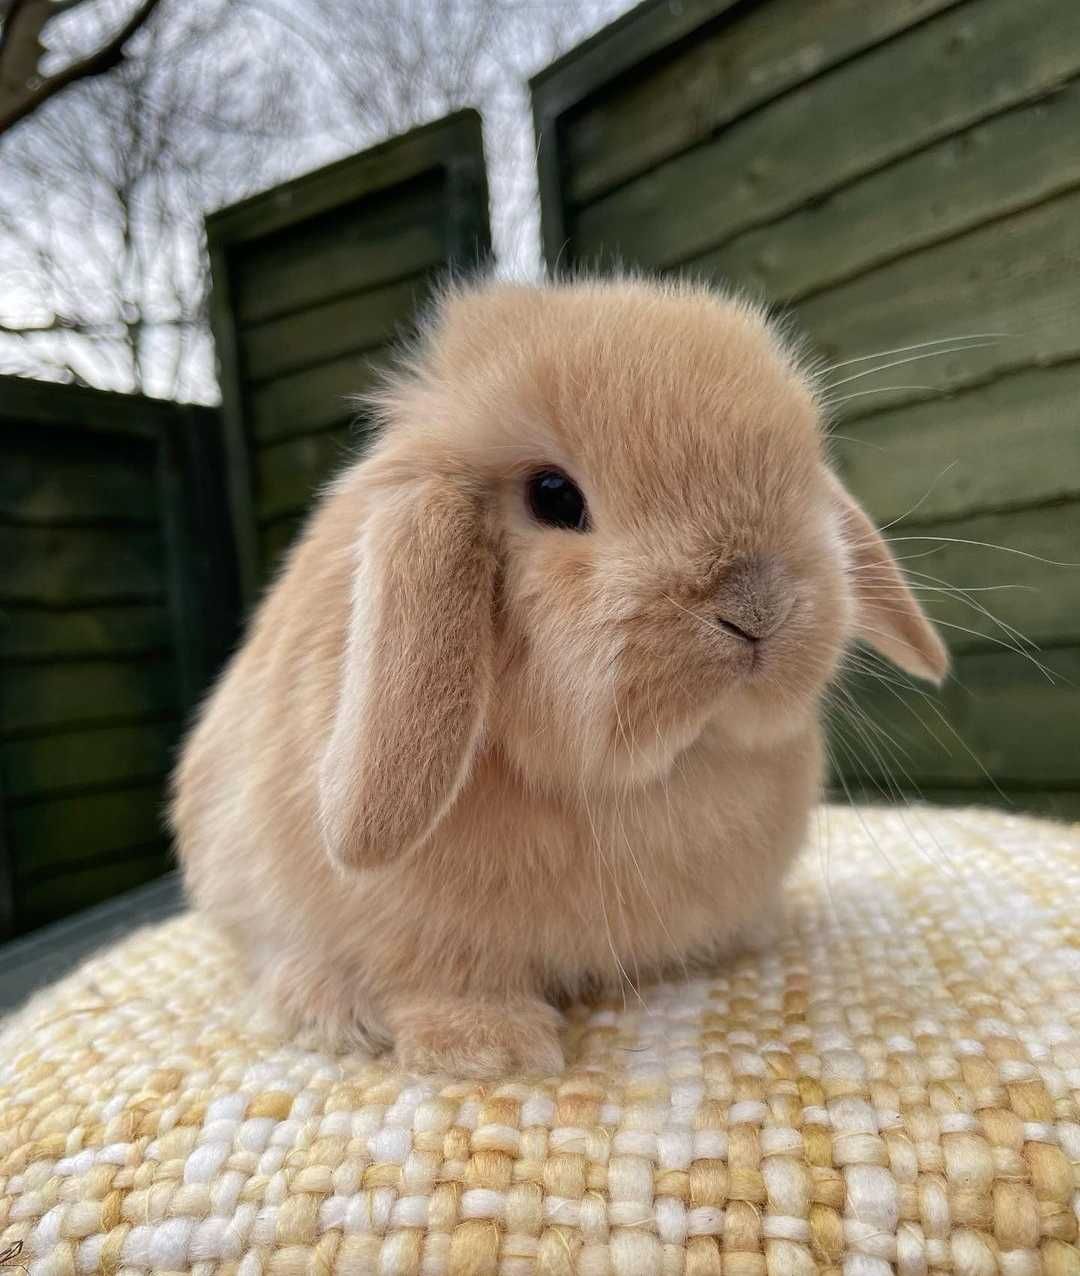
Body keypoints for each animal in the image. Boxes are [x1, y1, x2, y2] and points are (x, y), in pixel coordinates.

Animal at [171, 279, 949, 1076]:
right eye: (553, 496)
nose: (758, 606)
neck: (648, 780)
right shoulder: (417, 935)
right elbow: (440, 980)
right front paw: (491, 1049)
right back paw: (334, 1010)